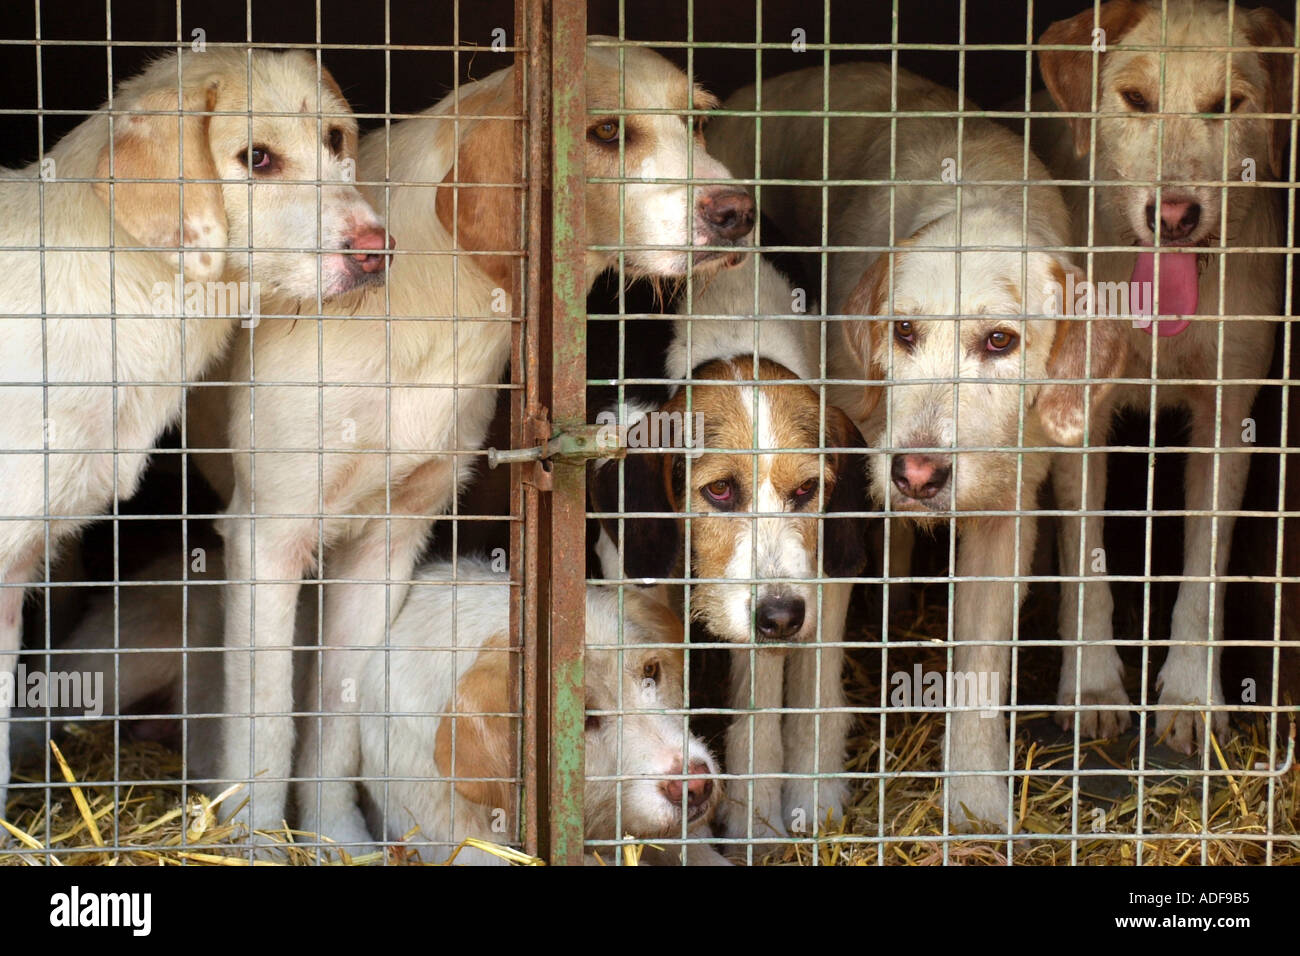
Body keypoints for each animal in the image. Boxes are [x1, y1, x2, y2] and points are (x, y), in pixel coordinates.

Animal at [702, 65, 1128, 832]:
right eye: (902, 330)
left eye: (1000, 341)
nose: (916, 474)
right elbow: (814, 668)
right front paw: (815, 791)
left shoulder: (1006, 516)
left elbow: (982, 670)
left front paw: (976, 805)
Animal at [1029, 0, 1294, 759]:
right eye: (1136, 99)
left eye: (1227, 105)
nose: (1174, 216)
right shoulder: (1079, 417)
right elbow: (1086, 564)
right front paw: (1091, 688)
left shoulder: (1228, 417)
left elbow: (1204, 570)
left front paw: (1191, 696)